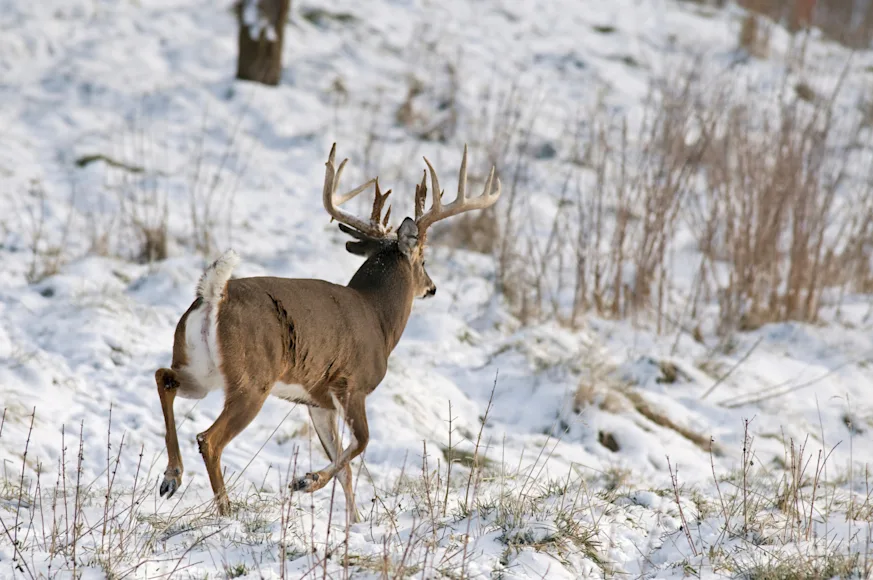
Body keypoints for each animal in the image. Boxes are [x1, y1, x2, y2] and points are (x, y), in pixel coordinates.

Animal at [154, 144, 501, 521]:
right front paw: (306, 481)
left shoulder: (316, 401)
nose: (432, 287)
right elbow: (361, 443)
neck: (378, 317)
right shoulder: (352, 384)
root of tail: (214, 295)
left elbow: (343, 464)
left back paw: (171, 477)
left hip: (200, 369)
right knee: (209, 438)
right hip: (253, 380)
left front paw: (354, 521)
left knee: (164, 377)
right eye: (423, 258)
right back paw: (225, 509)